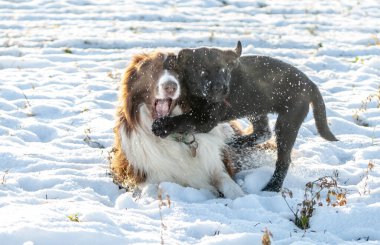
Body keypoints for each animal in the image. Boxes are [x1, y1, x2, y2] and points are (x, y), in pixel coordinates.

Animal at [111, 52, 245, 199]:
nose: (170, 86)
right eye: (153, 69)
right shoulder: (141, 176)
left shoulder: (218, 163)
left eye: (178, 72)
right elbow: (153, 188)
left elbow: (230, 185)